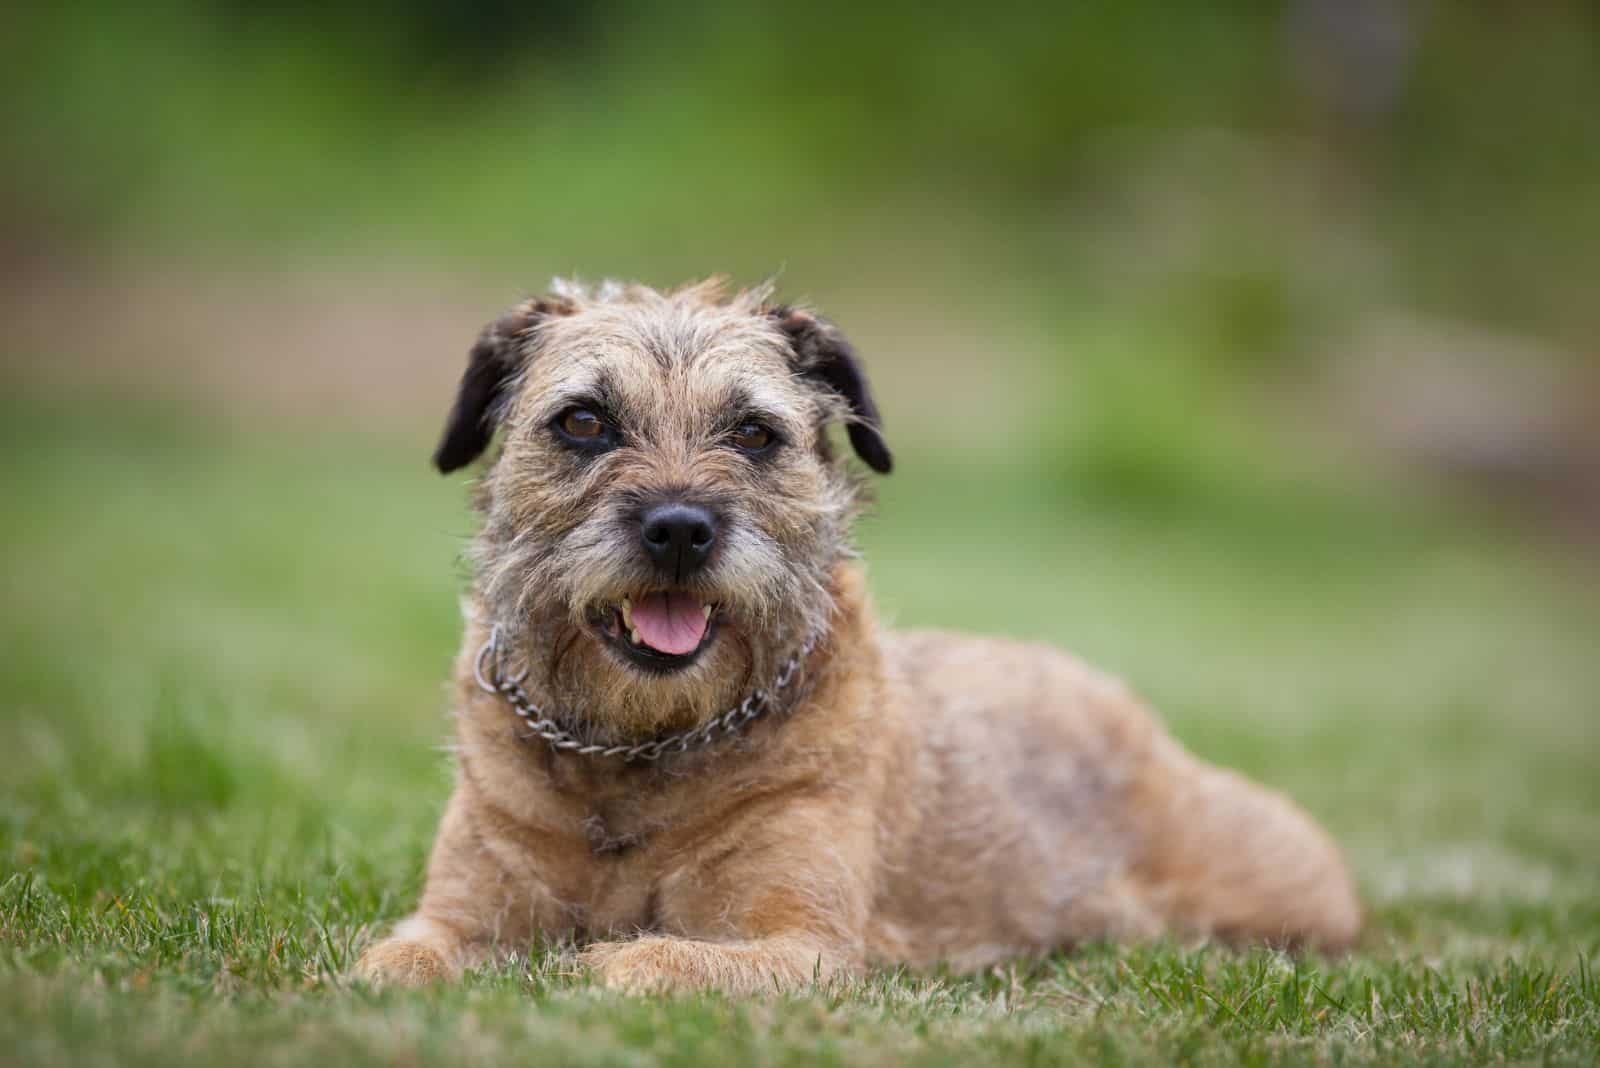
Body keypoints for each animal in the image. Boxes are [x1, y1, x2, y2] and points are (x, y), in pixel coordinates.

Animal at [353, 281, 1363, 991]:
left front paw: (599, 963)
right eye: (584, 421)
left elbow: (652, 959)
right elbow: (397, 960)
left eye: (753, 433)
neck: (639, 753)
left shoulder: (805, 947)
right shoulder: (458, 913)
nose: (679, 528)